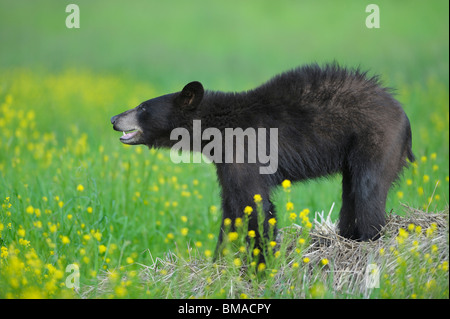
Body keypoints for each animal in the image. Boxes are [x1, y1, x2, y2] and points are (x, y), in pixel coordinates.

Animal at [110, 63, 414, 255]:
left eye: (142, 107)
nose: (113, 118)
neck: (218, 128)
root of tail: (403, 114)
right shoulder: (225, 162)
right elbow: (231, 209)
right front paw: (221, 260)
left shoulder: (244, 152)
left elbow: (255, 205)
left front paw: (262, 265)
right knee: (350, 193)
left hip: (377, 140)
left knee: (367, 190)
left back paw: (370, 242)